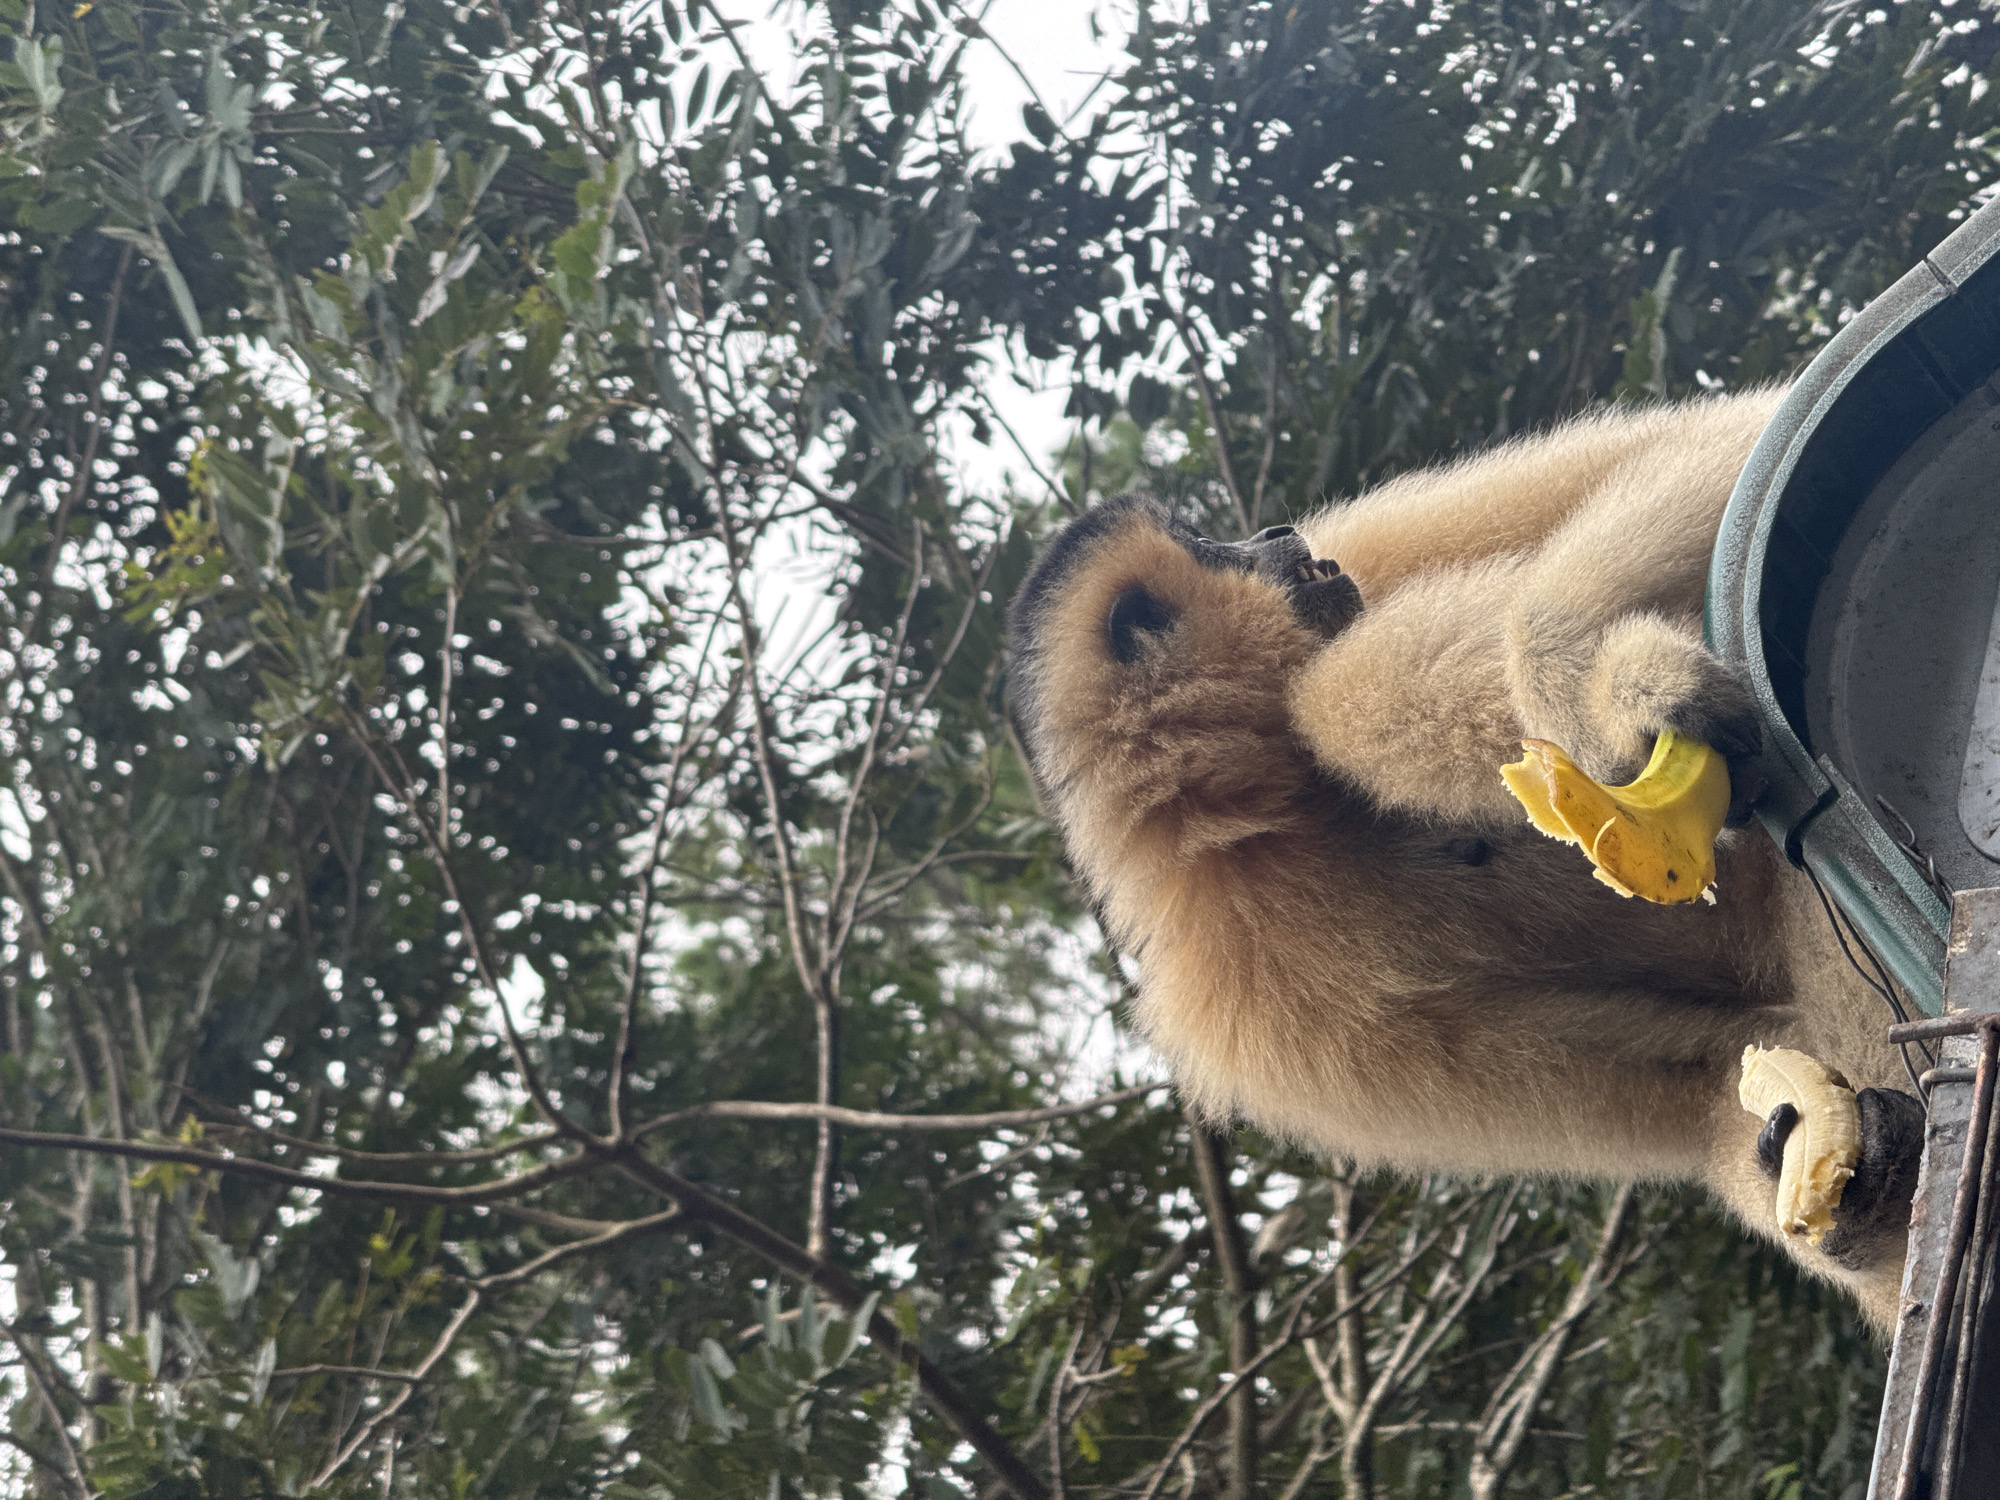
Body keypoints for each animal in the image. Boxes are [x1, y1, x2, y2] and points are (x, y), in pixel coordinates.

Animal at [1007, 389, 1926, 1331]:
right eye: (1210, 547)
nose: (1272, 533)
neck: (1282, 801)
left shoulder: (1366, 560)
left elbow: (1707, 444)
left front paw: (1597, 692)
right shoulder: (1267, 1016)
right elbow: (1703, 1079)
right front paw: (1843, 1182)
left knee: (1345, 695)